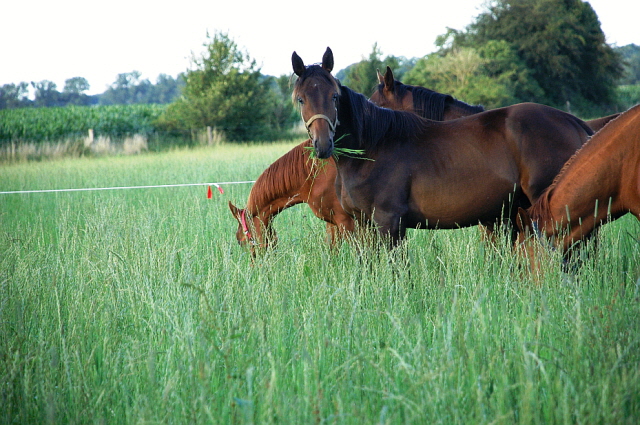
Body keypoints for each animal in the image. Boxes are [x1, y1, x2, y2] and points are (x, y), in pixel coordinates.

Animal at [292, 47, 592, 245]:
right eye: (301, 99)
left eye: (334, 96)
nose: (323, 144)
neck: (372, 148)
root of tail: (573, 121)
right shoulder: (364, 225)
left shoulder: (389, 223)